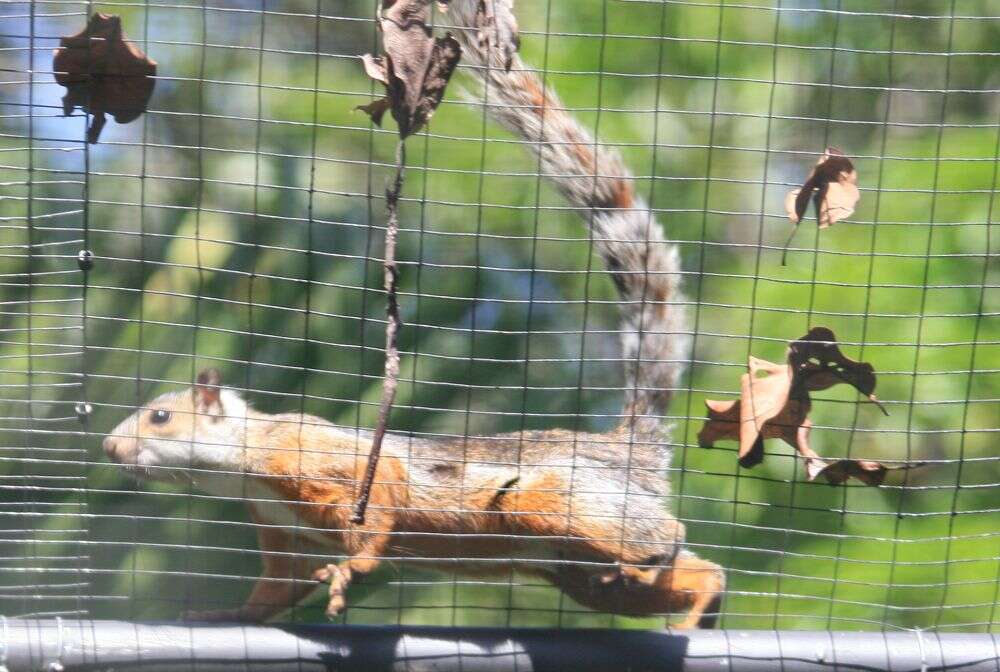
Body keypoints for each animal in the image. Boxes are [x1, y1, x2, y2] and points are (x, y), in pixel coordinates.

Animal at [101, 0, 724, 632]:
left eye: (160, 417)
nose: (109, 449)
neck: (244, 461)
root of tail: (630, 451)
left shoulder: (318, 456)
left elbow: (381, 504)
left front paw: (352, 569)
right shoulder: (280, 530)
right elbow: (276, 589)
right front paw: (226, 615)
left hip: (562, 500)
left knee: (664, 535)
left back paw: (661, 556)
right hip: (578, 572)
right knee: (692, 574)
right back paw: (700, 602)